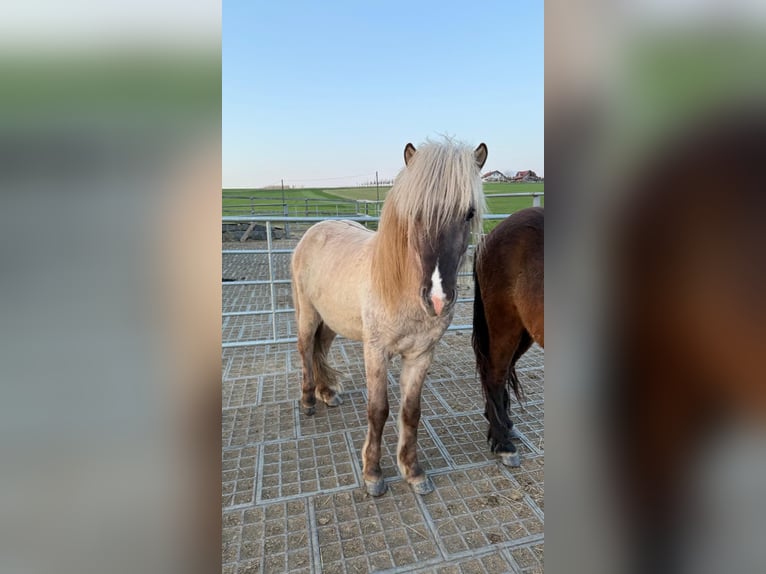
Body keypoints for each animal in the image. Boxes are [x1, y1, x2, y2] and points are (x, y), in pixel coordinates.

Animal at [291, 138, 487, 496]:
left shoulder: (421, 355)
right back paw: (309, 400)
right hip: (308, 315)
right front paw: (373, 473)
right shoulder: (376, 352)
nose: (437, 298)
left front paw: (413, 471)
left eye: (468, 212)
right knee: (305, 350)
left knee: (320, 350)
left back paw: (327, 393)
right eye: (416, 212)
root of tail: (316, 229)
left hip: (332, 322)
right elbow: (378, 410)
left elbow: (410, 412)